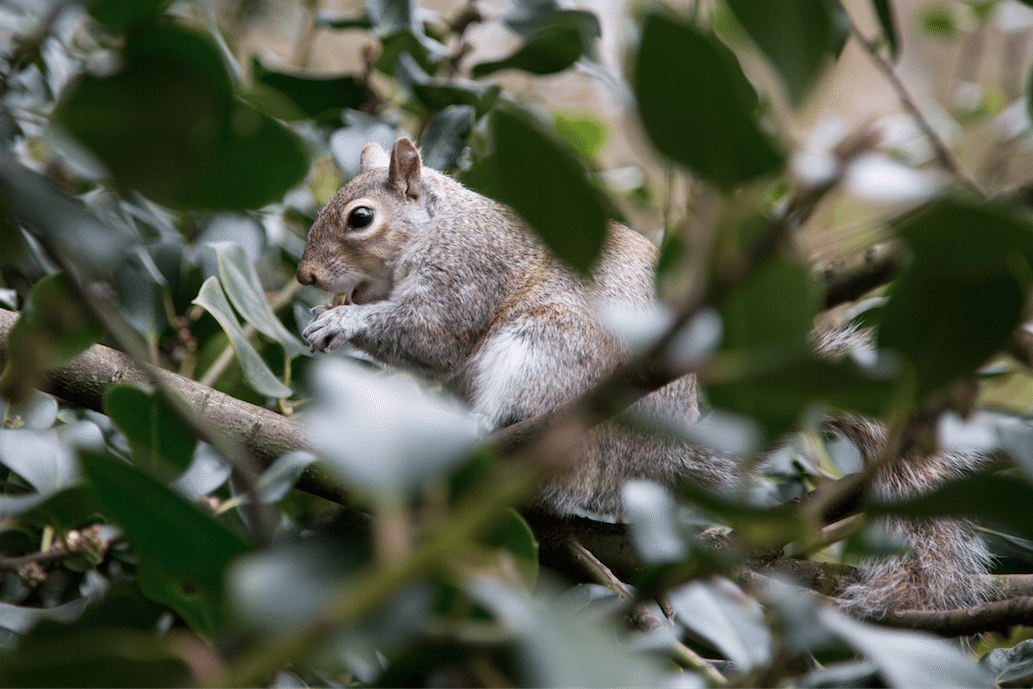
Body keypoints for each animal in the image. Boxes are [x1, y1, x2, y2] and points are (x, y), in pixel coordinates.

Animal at [297, 137, 991, 615]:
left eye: (360, 218)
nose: (304, 276)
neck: (435, 230)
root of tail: (653, 463)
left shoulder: (469, 276)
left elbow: (430, 335)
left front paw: (345, 322)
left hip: (544, 351)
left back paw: (474, 434)